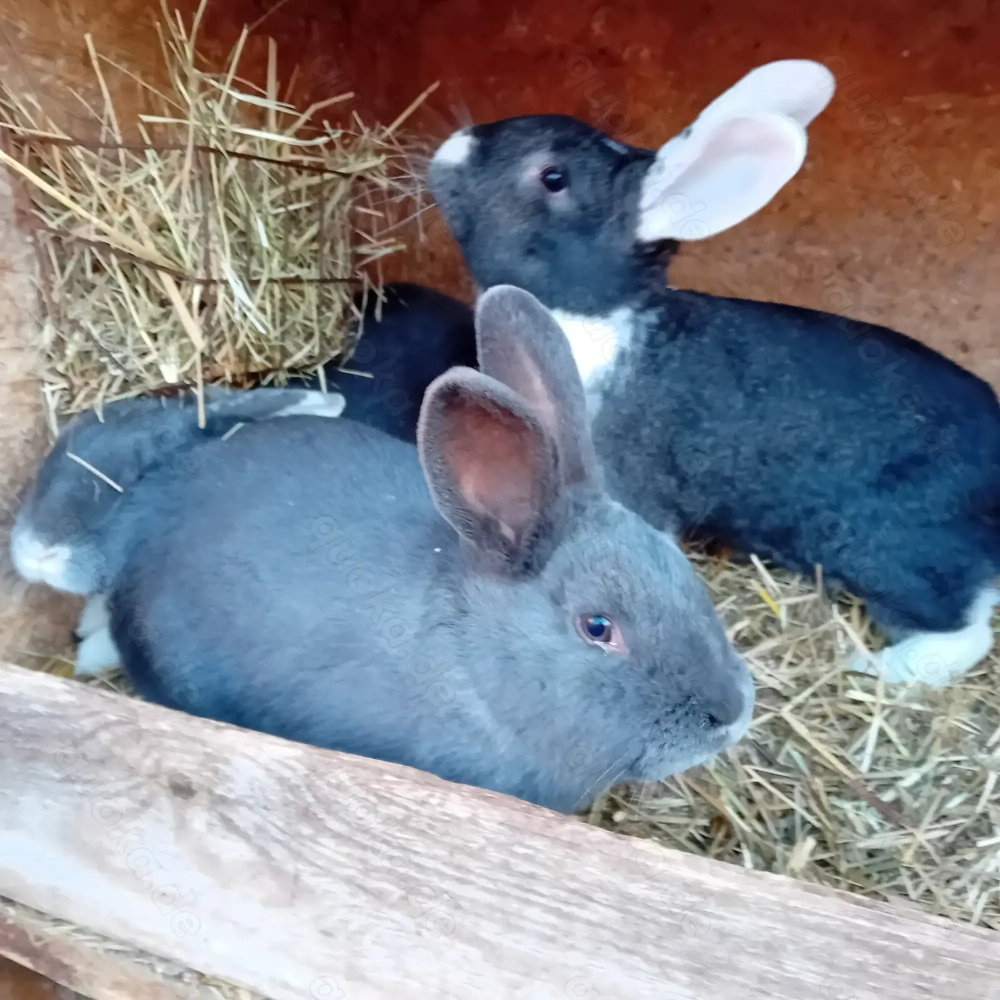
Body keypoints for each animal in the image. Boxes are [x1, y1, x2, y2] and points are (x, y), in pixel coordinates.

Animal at [428, 59, 1000, 688]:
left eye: (553, 177)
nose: (450, 149)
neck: (599, 316)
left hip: (894, 553)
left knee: (964, 629)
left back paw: (874, 666)